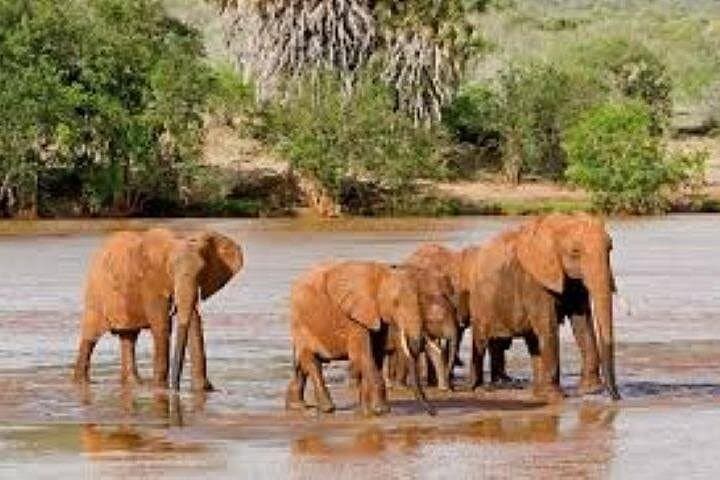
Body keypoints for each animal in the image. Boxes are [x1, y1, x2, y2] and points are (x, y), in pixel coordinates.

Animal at [72, 228, 243, 391]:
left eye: (202, 270)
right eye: (171, 270)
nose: (176, 388)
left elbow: (194, 324)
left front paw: (203, 389)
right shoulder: (151, 282)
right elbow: (162, 327)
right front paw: (161, 387)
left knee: (128, 337)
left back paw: (134, 384)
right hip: (96, 294)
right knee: (90, 337)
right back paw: (81, 381)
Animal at [285, 261, 436, 416]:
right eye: (395, 303)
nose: (433, 412)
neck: (381, 274)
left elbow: (376, 354)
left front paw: (367, 411)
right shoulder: (353, 318)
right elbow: (363, 356)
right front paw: (381, 410)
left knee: (301, 365)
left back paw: (297, 406)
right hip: (302, 325)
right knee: (311, 362)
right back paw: (327, 408)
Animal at [460, 213, 620, 401]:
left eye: (610, 248)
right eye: (575, 252)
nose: (616, 397)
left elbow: (582, 322)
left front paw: (590, 390)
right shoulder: (533, 281)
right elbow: (548, 325)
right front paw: (557, 396)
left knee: (529, 341)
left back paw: (536, 391)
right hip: (480, 300)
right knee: (482, 339)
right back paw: (478, 388)